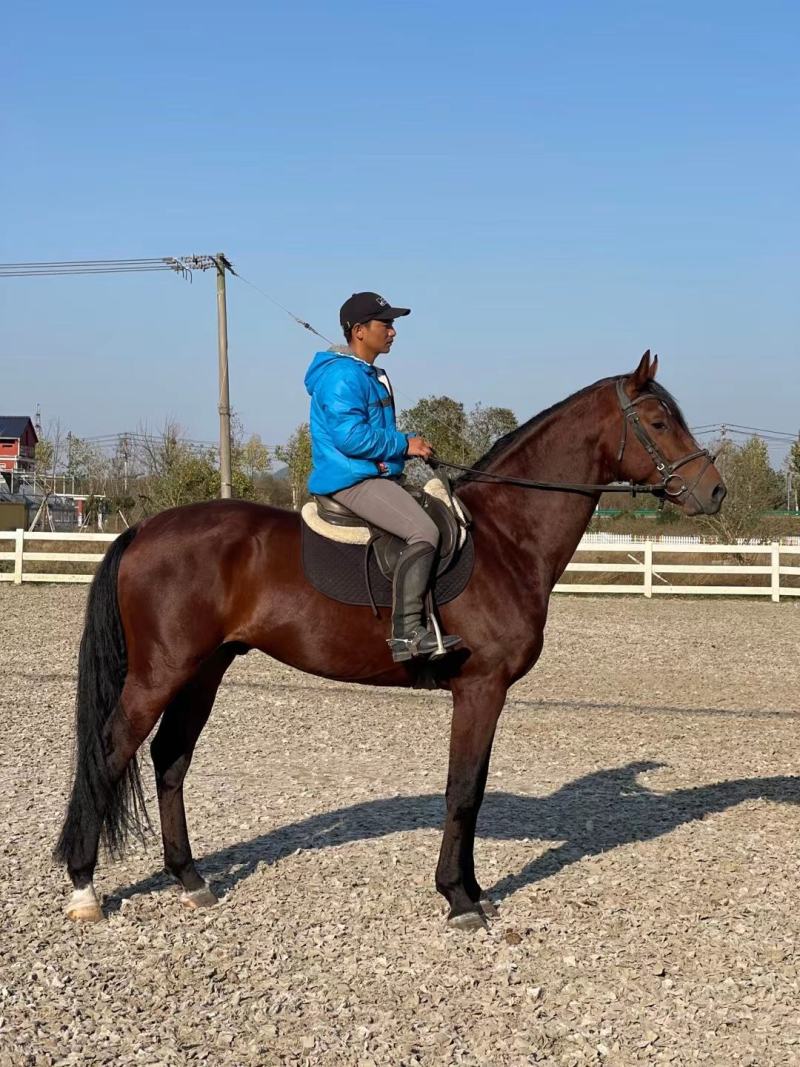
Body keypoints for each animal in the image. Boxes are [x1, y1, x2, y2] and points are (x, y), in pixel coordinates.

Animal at [55, 351, 725, 930]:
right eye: (659, 421)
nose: (714, 490)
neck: (506, 538)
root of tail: (143, 528)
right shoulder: (480, 690)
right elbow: (463, 791)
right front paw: (460, 899)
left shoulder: (484, 694)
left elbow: (473, 789)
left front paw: (471, 889)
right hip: (161, 673)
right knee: (109, 753)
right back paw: (84, 887)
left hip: (204, 670)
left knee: (170, 758)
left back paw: (190, 880)